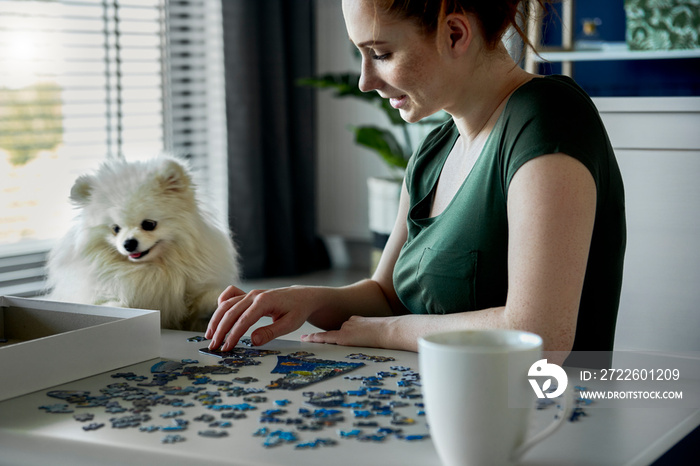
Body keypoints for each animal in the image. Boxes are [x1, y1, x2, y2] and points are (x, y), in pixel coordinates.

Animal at [46, 155, 239, 330]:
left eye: (148, 224)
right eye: (115, 228)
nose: (128, 244)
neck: (152, 269)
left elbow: (201, 307)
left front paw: (221, 302)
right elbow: (110, 304)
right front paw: (118, 308)